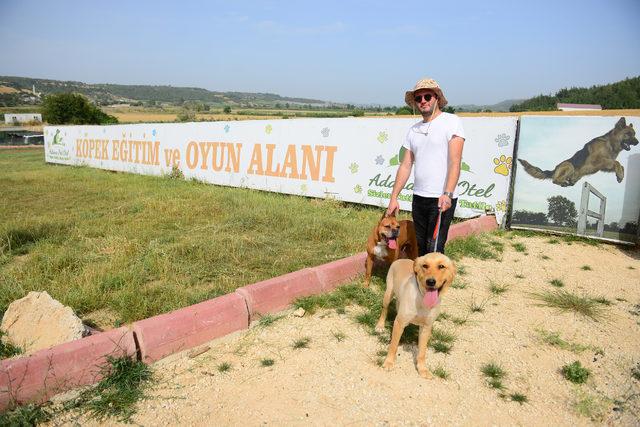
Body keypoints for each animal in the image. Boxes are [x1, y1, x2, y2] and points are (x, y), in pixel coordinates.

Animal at [376, 252, 456, 380]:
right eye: (425, 266)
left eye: (441, 266)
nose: (430, 281)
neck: (422, 299)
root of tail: (401, 259)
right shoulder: (399, 323)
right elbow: (393, 345)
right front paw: (389, 362)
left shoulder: (426, 328)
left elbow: (422, 352)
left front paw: (422, 369)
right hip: (388, 293)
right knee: (385, 309)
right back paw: (380, 326)